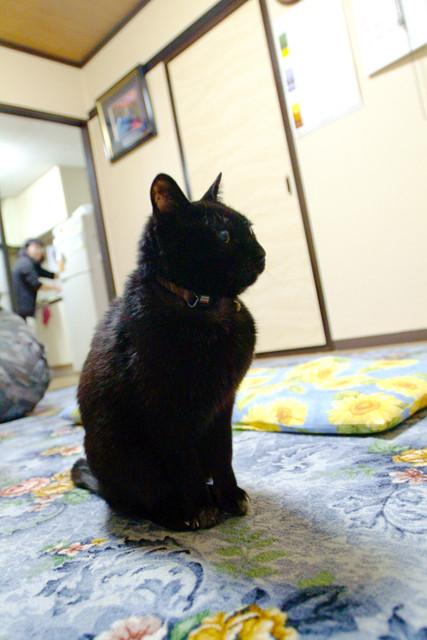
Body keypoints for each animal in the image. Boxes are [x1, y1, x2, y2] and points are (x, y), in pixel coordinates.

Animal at [72, 173, 266, 531]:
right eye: (224, 237)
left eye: (250, 229)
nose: (261, 253)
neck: (201, 304)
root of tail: (101, 482)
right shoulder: (166, 411)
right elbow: (184, 464)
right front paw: (201, 508)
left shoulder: (222, 405)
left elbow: (224, 454)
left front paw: (230, 496)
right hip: (122, 452)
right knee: (138, 500)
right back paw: (176, 512)